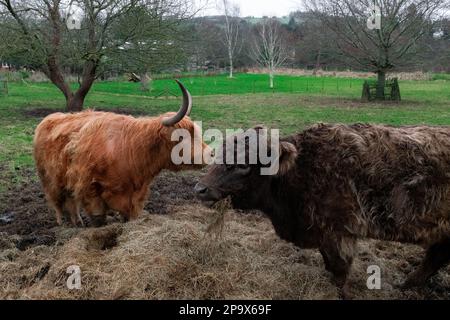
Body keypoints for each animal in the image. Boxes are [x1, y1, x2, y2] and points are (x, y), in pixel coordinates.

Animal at [196, 123, 450, 298]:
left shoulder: (338, 233)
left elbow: (339, 271)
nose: (200, 188)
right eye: (219, 154)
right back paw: (405, 285)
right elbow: (329, 265)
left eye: (243, 165)